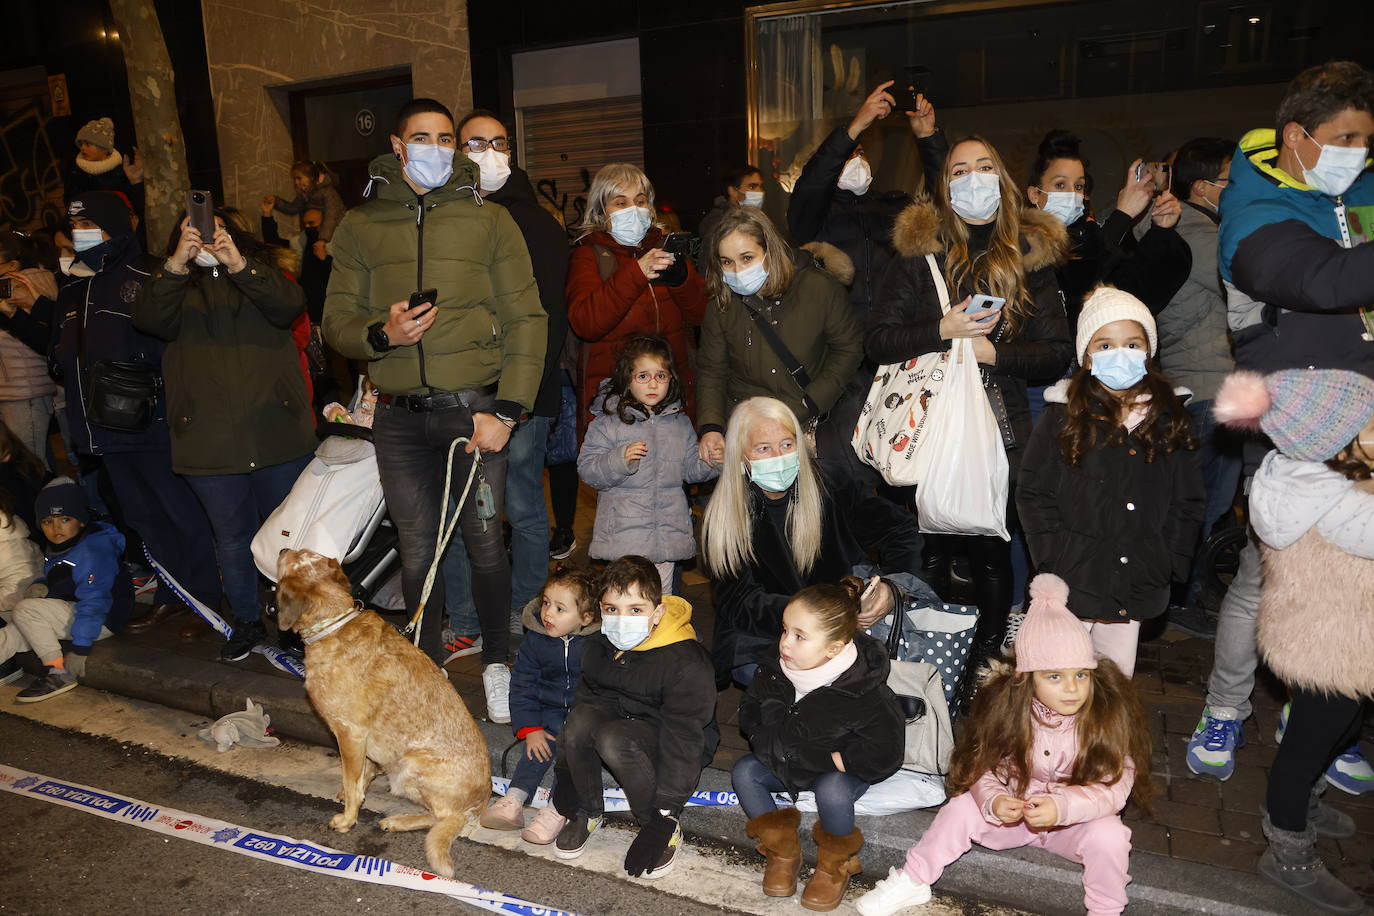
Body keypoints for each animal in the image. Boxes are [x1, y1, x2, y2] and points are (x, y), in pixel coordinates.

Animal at [273, 549, 489, 878]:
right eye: (312, 554)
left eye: (295, 557)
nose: (283, 550)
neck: (333, 624)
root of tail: (480, 802)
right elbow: (360, 775)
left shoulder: (349, 733)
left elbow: (352, 782)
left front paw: (347, 818)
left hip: (410, 767)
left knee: (440, 817)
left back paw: (399, 821)